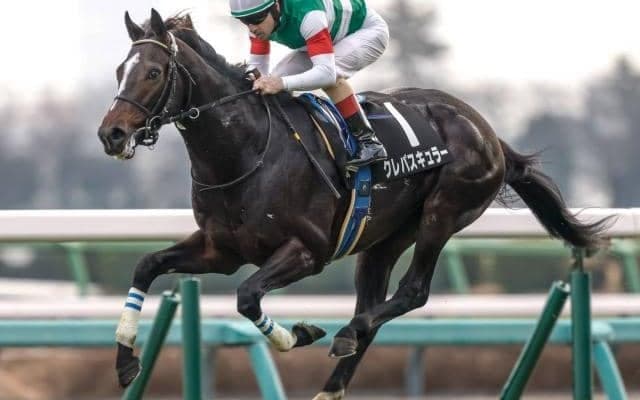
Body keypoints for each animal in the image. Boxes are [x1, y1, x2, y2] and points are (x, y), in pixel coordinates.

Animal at [98, 9, 611, 399]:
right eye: (120, 71)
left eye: (153, 72)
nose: (111, 134)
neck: (246, 151)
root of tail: (486, 131)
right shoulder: (219, 250)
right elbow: (147, 265)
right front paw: (125, 360)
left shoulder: (307, 251)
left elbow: (247, 297)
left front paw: (300, 333)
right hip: (383, 238)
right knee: (374, 306)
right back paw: (332, 384)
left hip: (443, 212)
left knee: (411, 292)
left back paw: (345, 333)